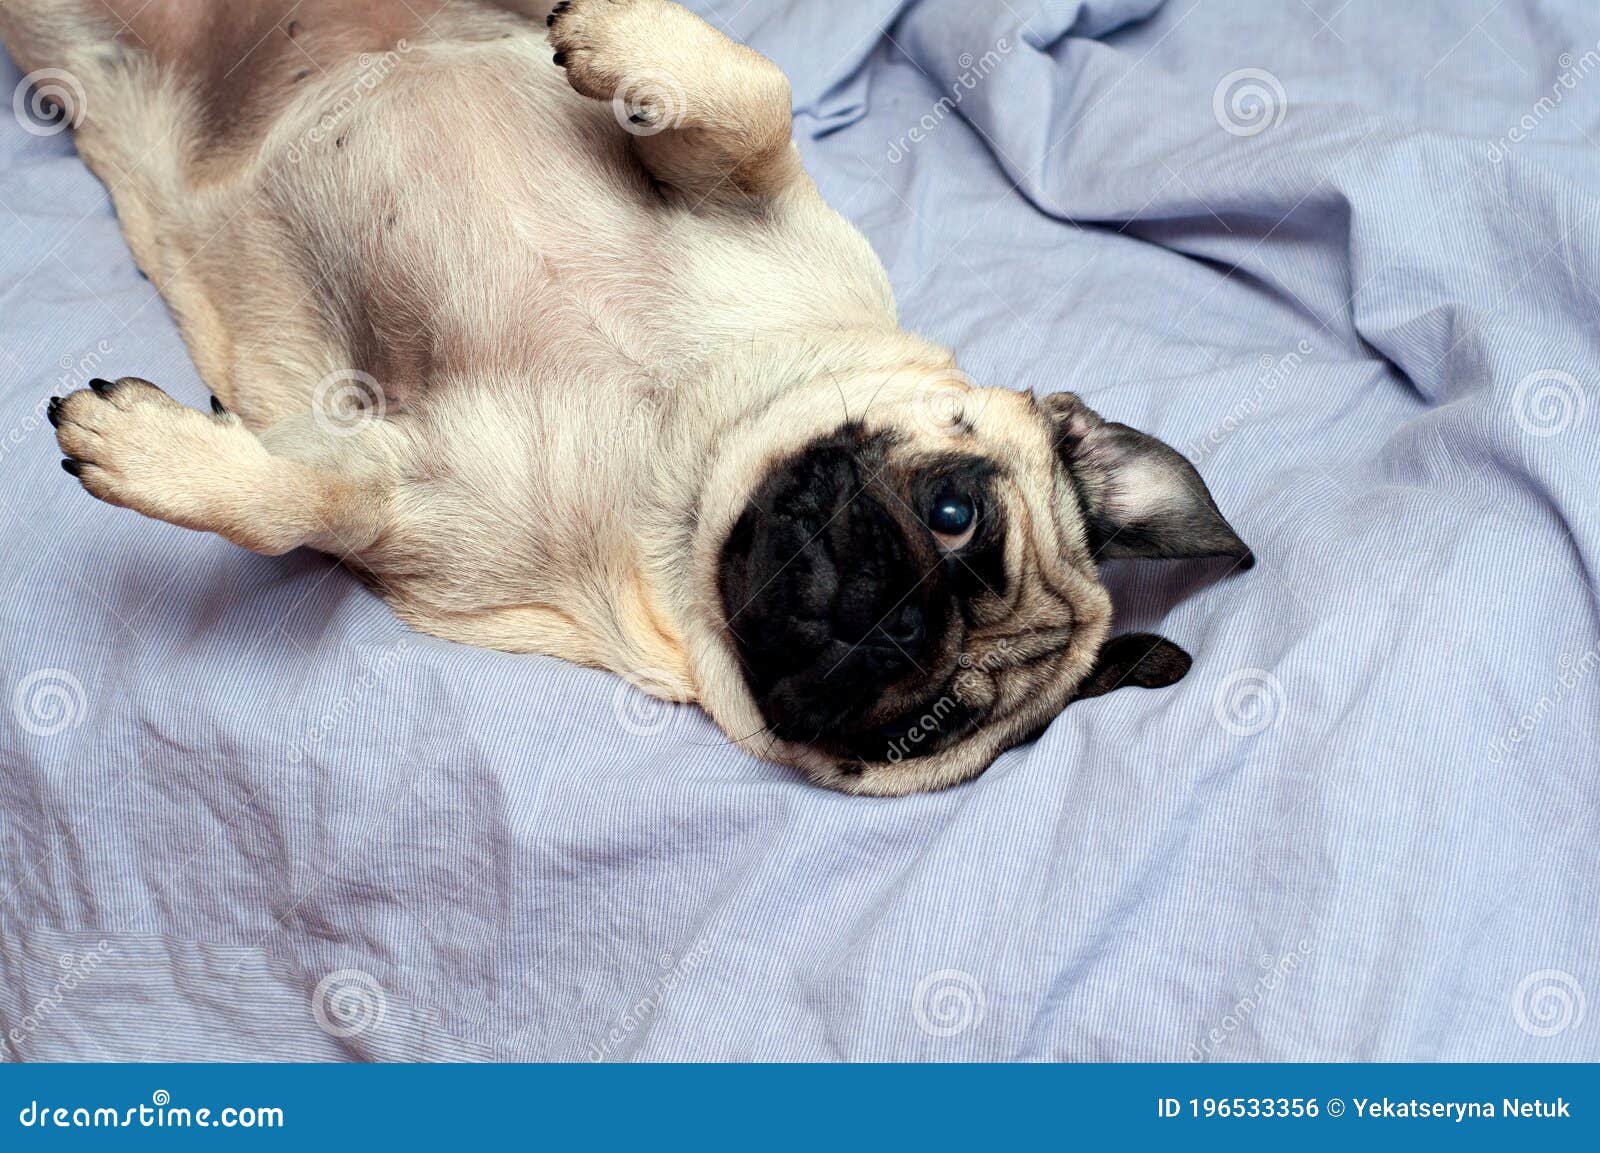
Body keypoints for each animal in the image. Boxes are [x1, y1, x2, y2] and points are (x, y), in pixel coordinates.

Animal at [6, 0, 1254, 793]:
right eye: (954, 514)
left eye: (923, 726)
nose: (897, 625)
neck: (677, 463)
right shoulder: (767, 198)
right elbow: (757, 99)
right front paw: (628, 39)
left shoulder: (408, 508)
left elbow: (306, 503)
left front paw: (158, 455)